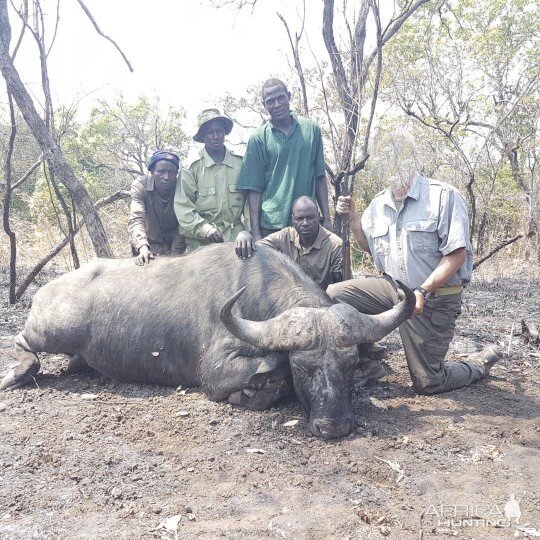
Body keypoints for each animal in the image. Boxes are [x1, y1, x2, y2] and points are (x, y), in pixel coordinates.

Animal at [1, 245, 414, 438]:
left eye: (349, 366)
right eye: (304, 369)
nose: (334, 426)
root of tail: (48, 290)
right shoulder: (214, 373)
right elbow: (269, 376)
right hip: (53, 329)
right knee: (25, 343)